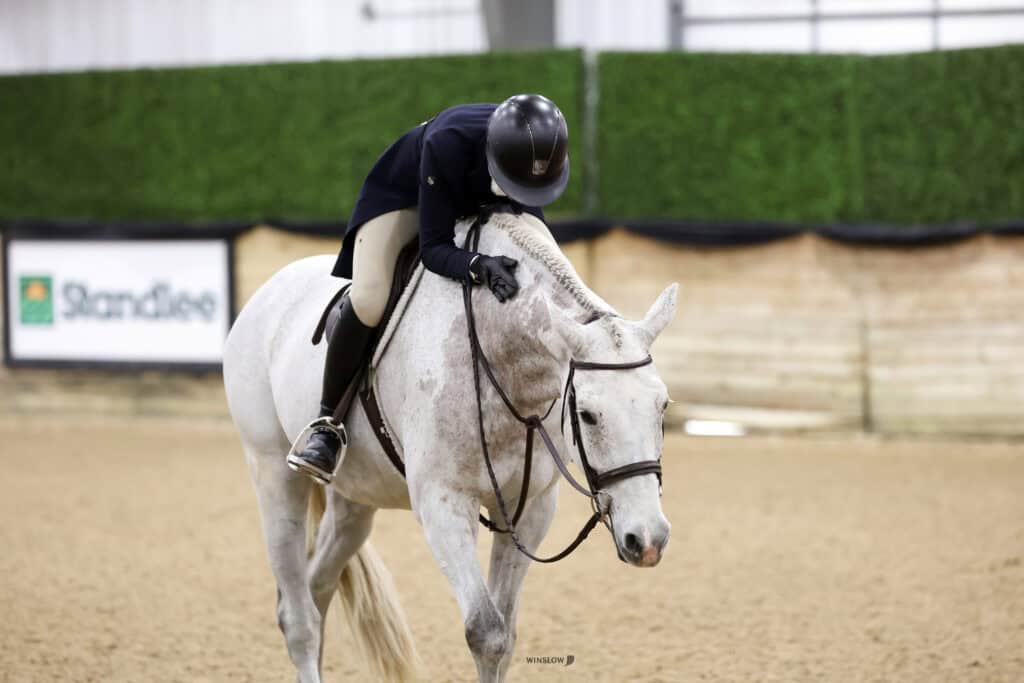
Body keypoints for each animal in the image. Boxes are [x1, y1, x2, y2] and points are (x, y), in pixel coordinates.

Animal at [222, 209, 678, 682]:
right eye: (587, 414)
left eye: (662, 406)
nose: (647, 539)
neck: (503, 355)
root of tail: (270, 290)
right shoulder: (444, 504)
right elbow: (486, 632)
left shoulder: (532, 507)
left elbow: (505, 636)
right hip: (274, 475)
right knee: (298, 616)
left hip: (355, 502)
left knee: (319, 585)